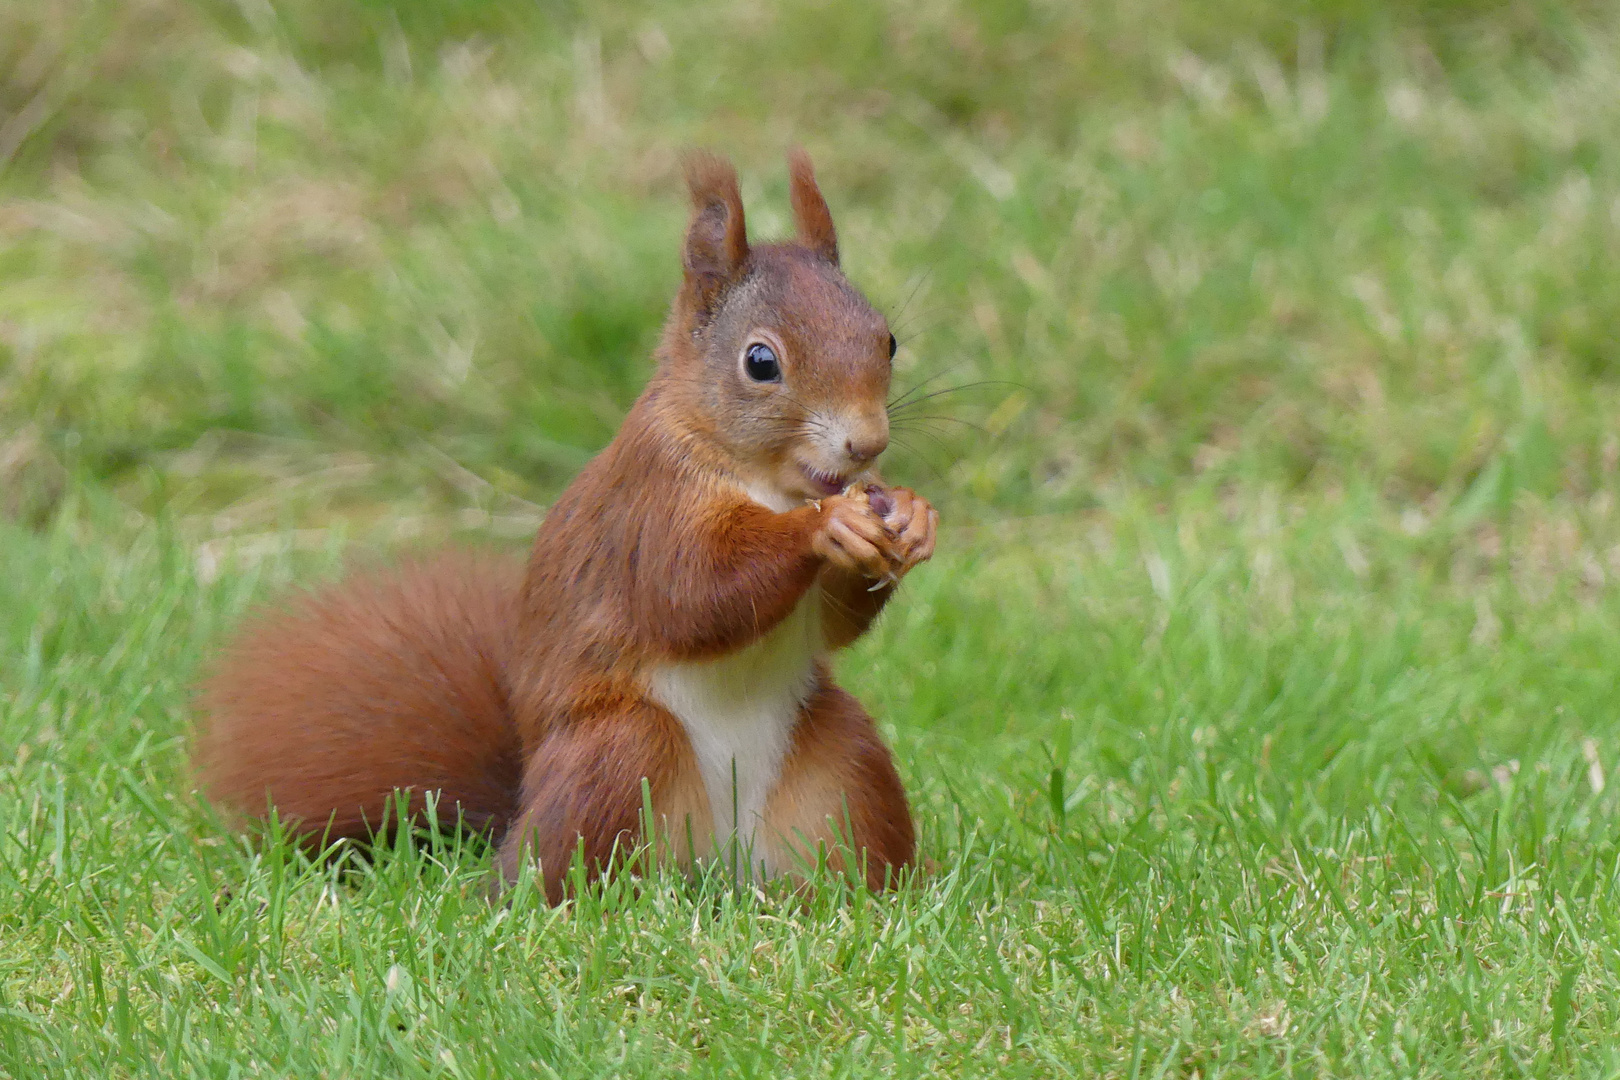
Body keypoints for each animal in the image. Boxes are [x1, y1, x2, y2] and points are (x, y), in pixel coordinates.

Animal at [192, 148, 939, 900]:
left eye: (889, 340)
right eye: (761, 362)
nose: (868, 443)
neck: (769, 481)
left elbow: (831, 624)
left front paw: (911, 517)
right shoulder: (650, 507)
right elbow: (693, 594)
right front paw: (826, 526)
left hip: (839, 764)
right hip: (617, 754)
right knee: (564, 870)